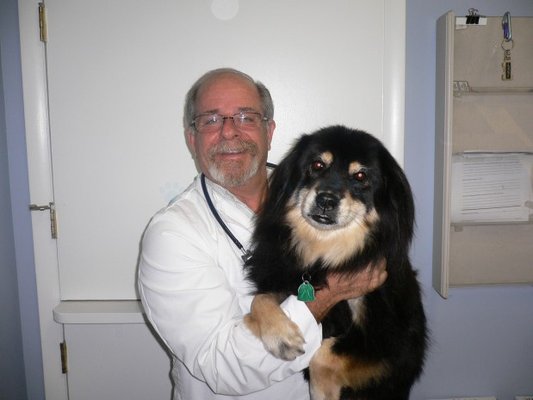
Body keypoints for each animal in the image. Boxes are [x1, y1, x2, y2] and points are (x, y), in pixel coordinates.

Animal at [243, 126, 426, 400]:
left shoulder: (392, 346)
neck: (326, 256)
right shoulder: (285, 279)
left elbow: (323, 356)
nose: (326, 200)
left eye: (360, 176)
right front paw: (282, 336)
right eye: (317, 165)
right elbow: (260, 299)